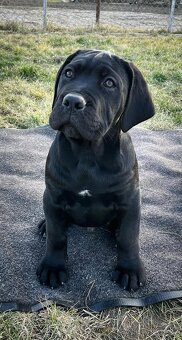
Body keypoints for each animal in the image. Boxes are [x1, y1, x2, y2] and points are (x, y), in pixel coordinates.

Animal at [37, 49, 155, 290]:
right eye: (69, 73)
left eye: (109, 83)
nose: (72, 101)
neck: (87, 153)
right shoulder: (52, 196)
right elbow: (57, 236)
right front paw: (53, 266)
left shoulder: (130, 200)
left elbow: (129, 237)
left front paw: (130, 269)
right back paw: (44, 226)